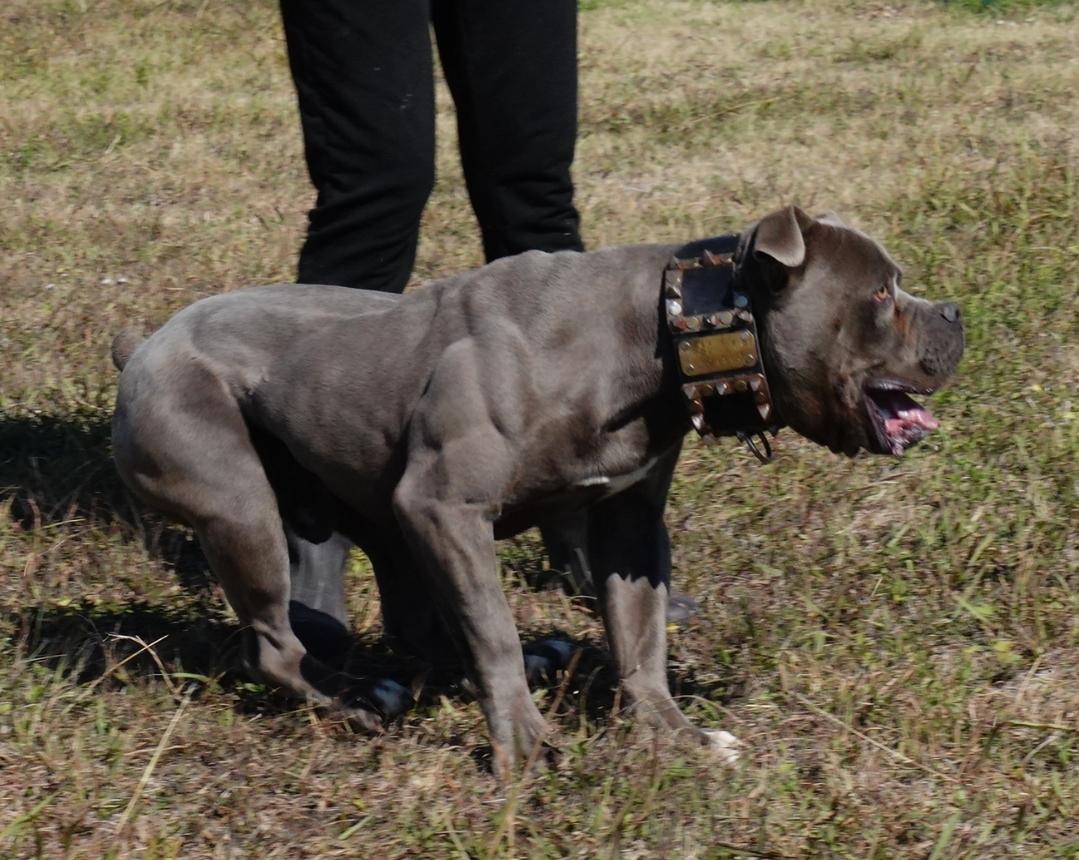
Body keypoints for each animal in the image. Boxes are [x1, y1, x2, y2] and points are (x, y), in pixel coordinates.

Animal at [109, 205, 966, 776]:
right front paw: (523, 747)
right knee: (276, 646)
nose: (956, 312)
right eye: (881, 295)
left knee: (413, 622)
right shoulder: (445, 507)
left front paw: (676, 736)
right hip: (239, 505)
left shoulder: (627, 521)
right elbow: (489, 632)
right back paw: (357, 701)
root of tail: (141, 343)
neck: (660, 330)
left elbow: (639, 639)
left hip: (365, 505)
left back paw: (506, 659)